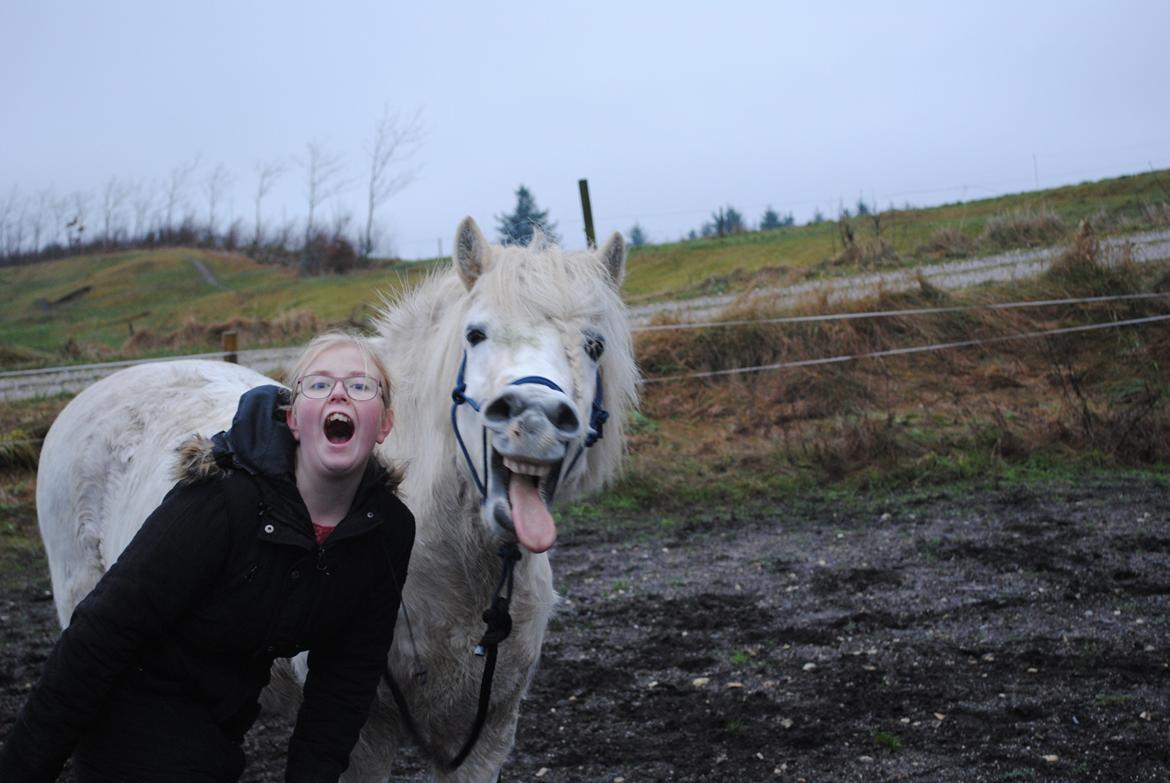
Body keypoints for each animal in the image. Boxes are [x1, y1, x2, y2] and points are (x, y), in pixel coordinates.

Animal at [36, 215, 636, 781]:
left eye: (595, 346)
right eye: (475, 334)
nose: (535, 416)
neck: (450, 572)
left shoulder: (483, 741)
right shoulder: (362, 734)